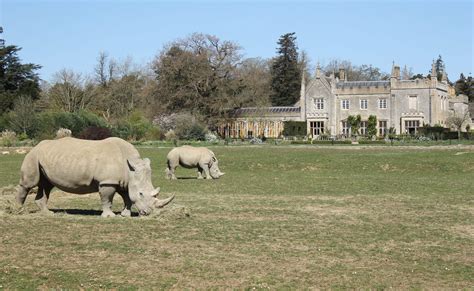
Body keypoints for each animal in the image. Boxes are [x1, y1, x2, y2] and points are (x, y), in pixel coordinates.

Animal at [17, 138, 176, 218]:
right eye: (141, 194)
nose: (148, 213)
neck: (130, 166)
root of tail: (36, 145)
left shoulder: (124, 181)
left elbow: (127, 197)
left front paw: (125, 214)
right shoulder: (108, 182)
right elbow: (107, 198)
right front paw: (109, 216)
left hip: (45, 158)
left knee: (46, 185)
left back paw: (47, 213)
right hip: (33, 156)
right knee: (29, 184)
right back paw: (19, 211)